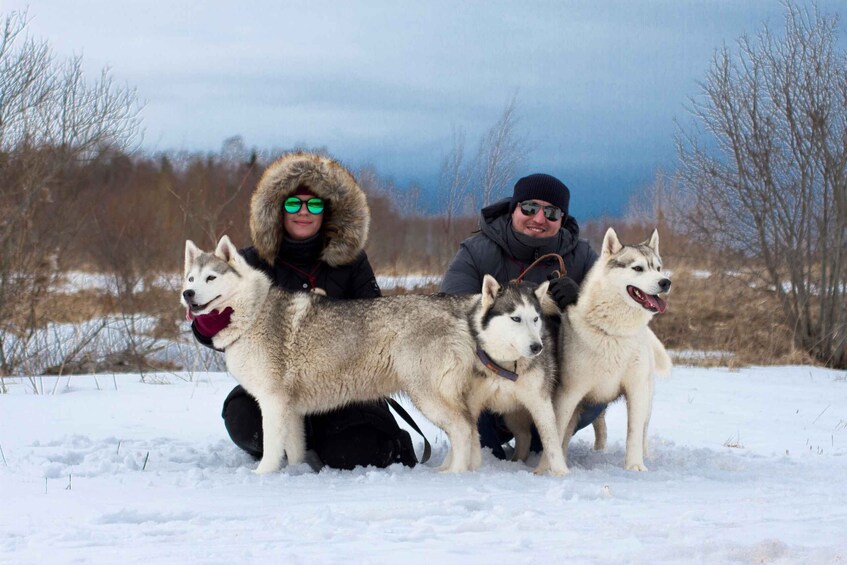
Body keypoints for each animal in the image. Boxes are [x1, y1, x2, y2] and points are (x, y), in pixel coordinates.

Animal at [181, 236, 568, 474]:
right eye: (190, 278)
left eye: (211, 278)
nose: (187, 294)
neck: (254, 312)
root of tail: (457, 309)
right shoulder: (290, 409)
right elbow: (294, 448)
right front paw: (298, 471)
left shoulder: (273, 404)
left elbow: (273, 447)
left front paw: (262, 475)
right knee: (469, 430)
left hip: (426, 395)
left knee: (463, 429)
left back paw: (454, 474)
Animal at [540, 227, 672, 474]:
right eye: (638, 268)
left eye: (658, 268)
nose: (665, 282)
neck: (614, 332)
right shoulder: (569, 393)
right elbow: (556, 431)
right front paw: (545, 468)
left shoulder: (636, 389)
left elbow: (634, 433)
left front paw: (635, 465)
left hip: (645, 396)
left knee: (640, 431)